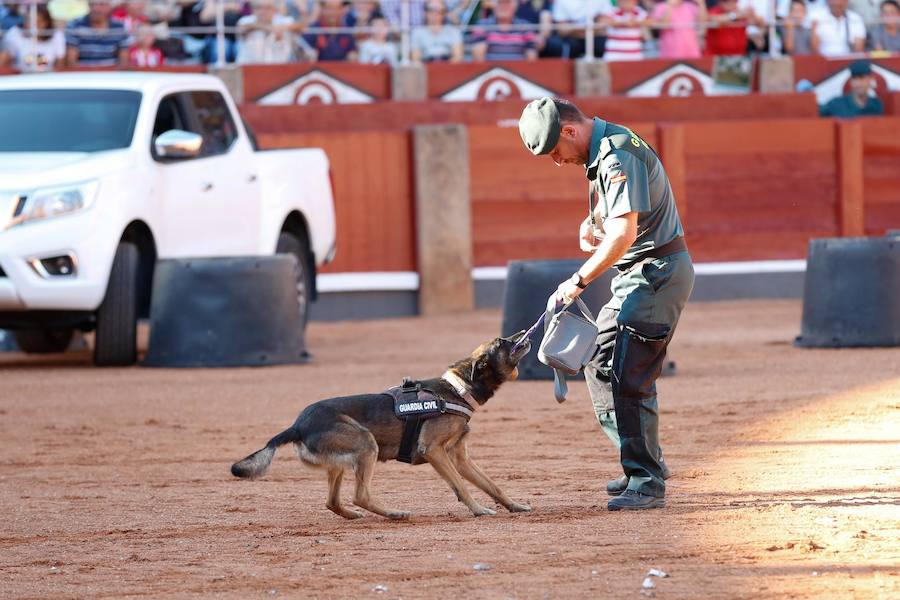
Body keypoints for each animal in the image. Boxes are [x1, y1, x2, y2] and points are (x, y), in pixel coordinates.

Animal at [230, 332, 536, 520]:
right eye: (501, 342)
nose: (524, 333)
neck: (457, 390)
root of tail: (297, 425)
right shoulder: (434, 451)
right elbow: (461, 486)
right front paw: (478, 510)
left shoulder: (460, 457)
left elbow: (492, 485)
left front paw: (514, 506)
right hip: (366, 445)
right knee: (360, 495)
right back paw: (393, 514)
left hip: (342, 461)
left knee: (333, 501)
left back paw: (354, 515)